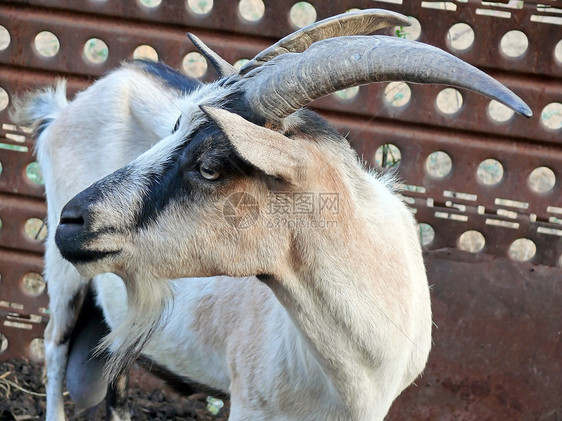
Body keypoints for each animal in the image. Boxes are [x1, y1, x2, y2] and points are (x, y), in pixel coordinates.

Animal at [12, 8, 528, 420]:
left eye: (210, 166)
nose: (73, 221)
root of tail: (62, 110)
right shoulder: (251, 404)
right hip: (64, 278)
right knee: (55, 351)